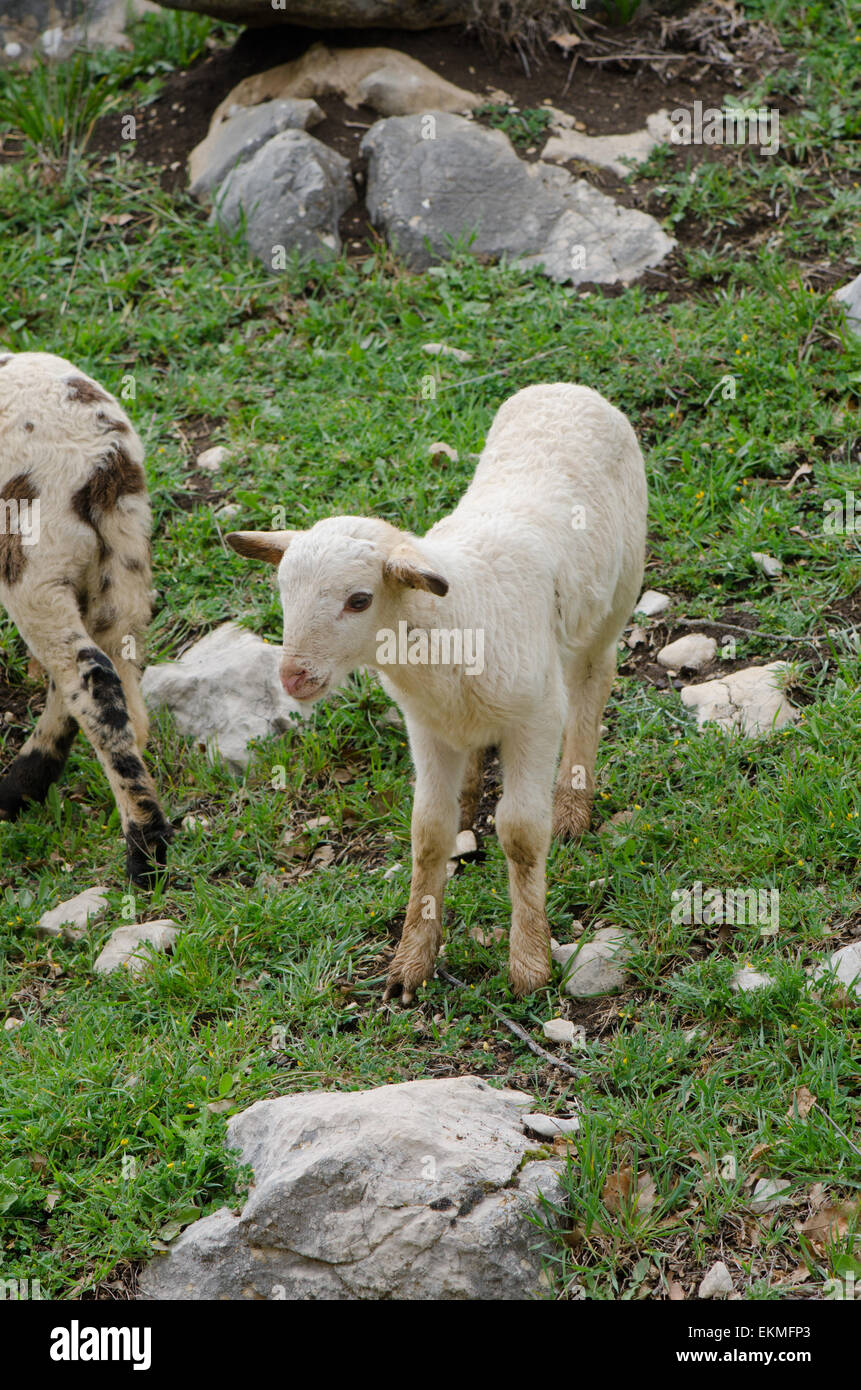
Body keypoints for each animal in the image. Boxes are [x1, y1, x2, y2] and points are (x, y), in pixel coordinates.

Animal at [0, 353, 171, 884]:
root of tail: (103, 452)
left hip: (33, 560)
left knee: (92, 677)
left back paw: (145, 849)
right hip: (122, 557)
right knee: (111, 671)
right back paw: (22, 786)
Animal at [225, 383, 642, 1000]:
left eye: (358, 600)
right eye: (282, 591)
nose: (293, 677)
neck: (455, 621)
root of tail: (566, 388)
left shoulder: (536, 717)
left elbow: (521, 833)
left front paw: (529, 963)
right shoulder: (423, 726)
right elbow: (427, 833)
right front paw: (410, 964)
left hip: (615, 598)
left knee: (594, 681)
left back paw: (573, 801)